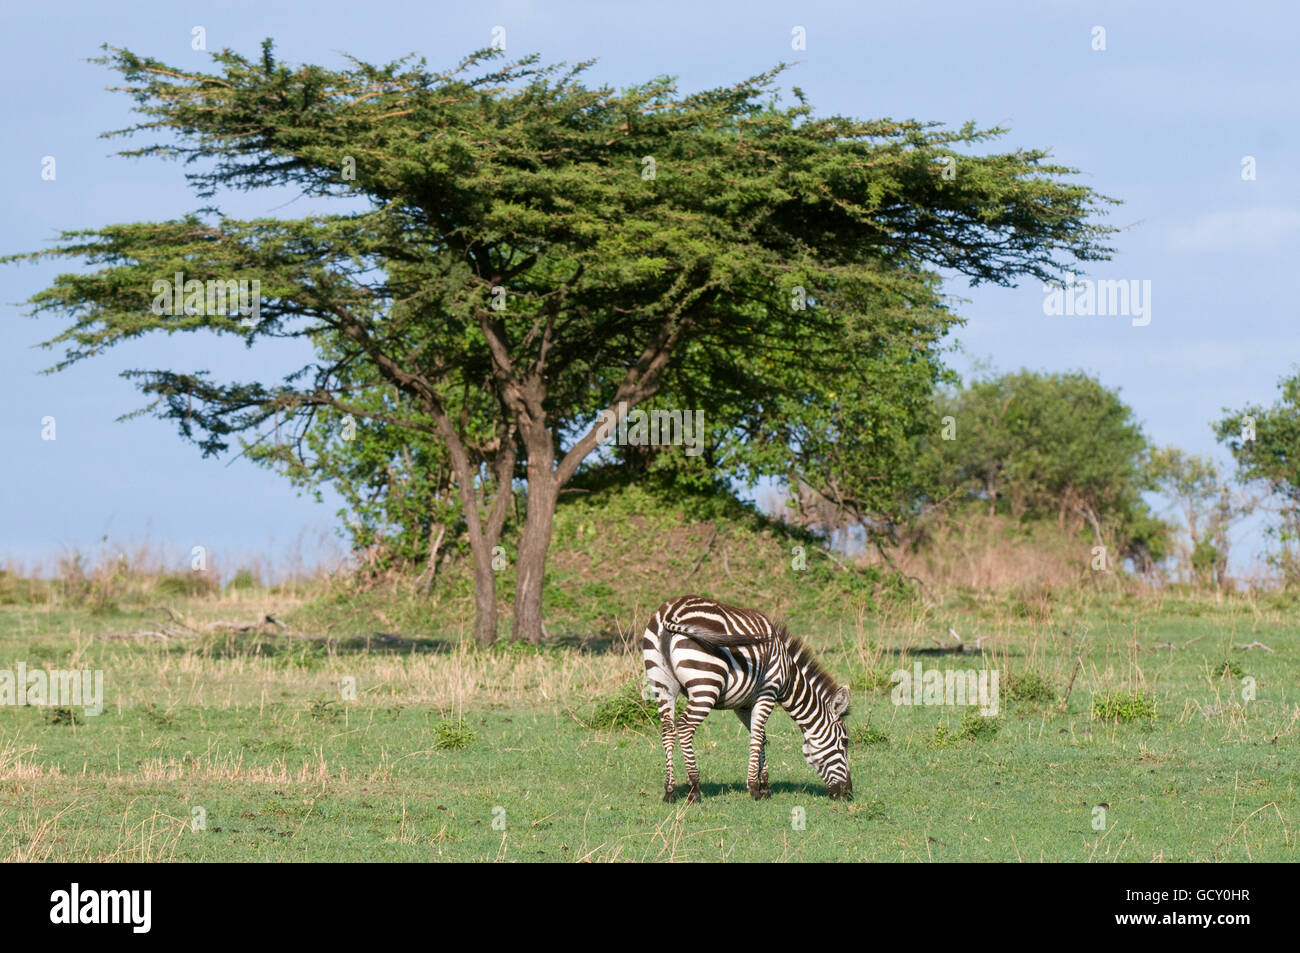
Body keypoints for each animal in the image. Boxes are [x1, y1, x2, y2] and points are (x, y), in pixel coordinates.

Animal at [641, 594, 852, 802]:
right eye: (844, 741)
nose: (847, 793)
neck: (787, 674)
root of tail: (672, 611)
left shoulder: (743, 705)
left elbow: (761, 737)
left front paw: (764, 785)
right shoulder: (767, 692)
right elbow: (757, 738)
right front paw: (753, 788)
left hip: (662, 684)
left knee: (668, 730)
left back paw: (669, 790)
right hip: (706, 684)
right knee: (685, 726)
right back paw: (694, 789)